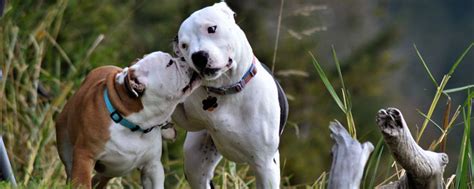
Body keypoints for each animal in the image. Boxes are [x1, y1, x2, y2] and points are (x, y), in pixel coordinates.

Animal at [55, 51, 200, 188]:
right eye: (169, 63)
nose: (183, 57)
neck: (135, 122)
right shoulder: (84, 157)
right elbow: (82, 183)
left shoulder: (152, 167)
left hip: (111, 170)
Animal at [172, 2, 286, 188]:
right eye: (184, 46)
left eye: (212, 28)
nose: (198, 56)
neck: (226, 90)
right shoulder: (187, 118)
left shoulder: (266, 165)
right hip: (195, 161)